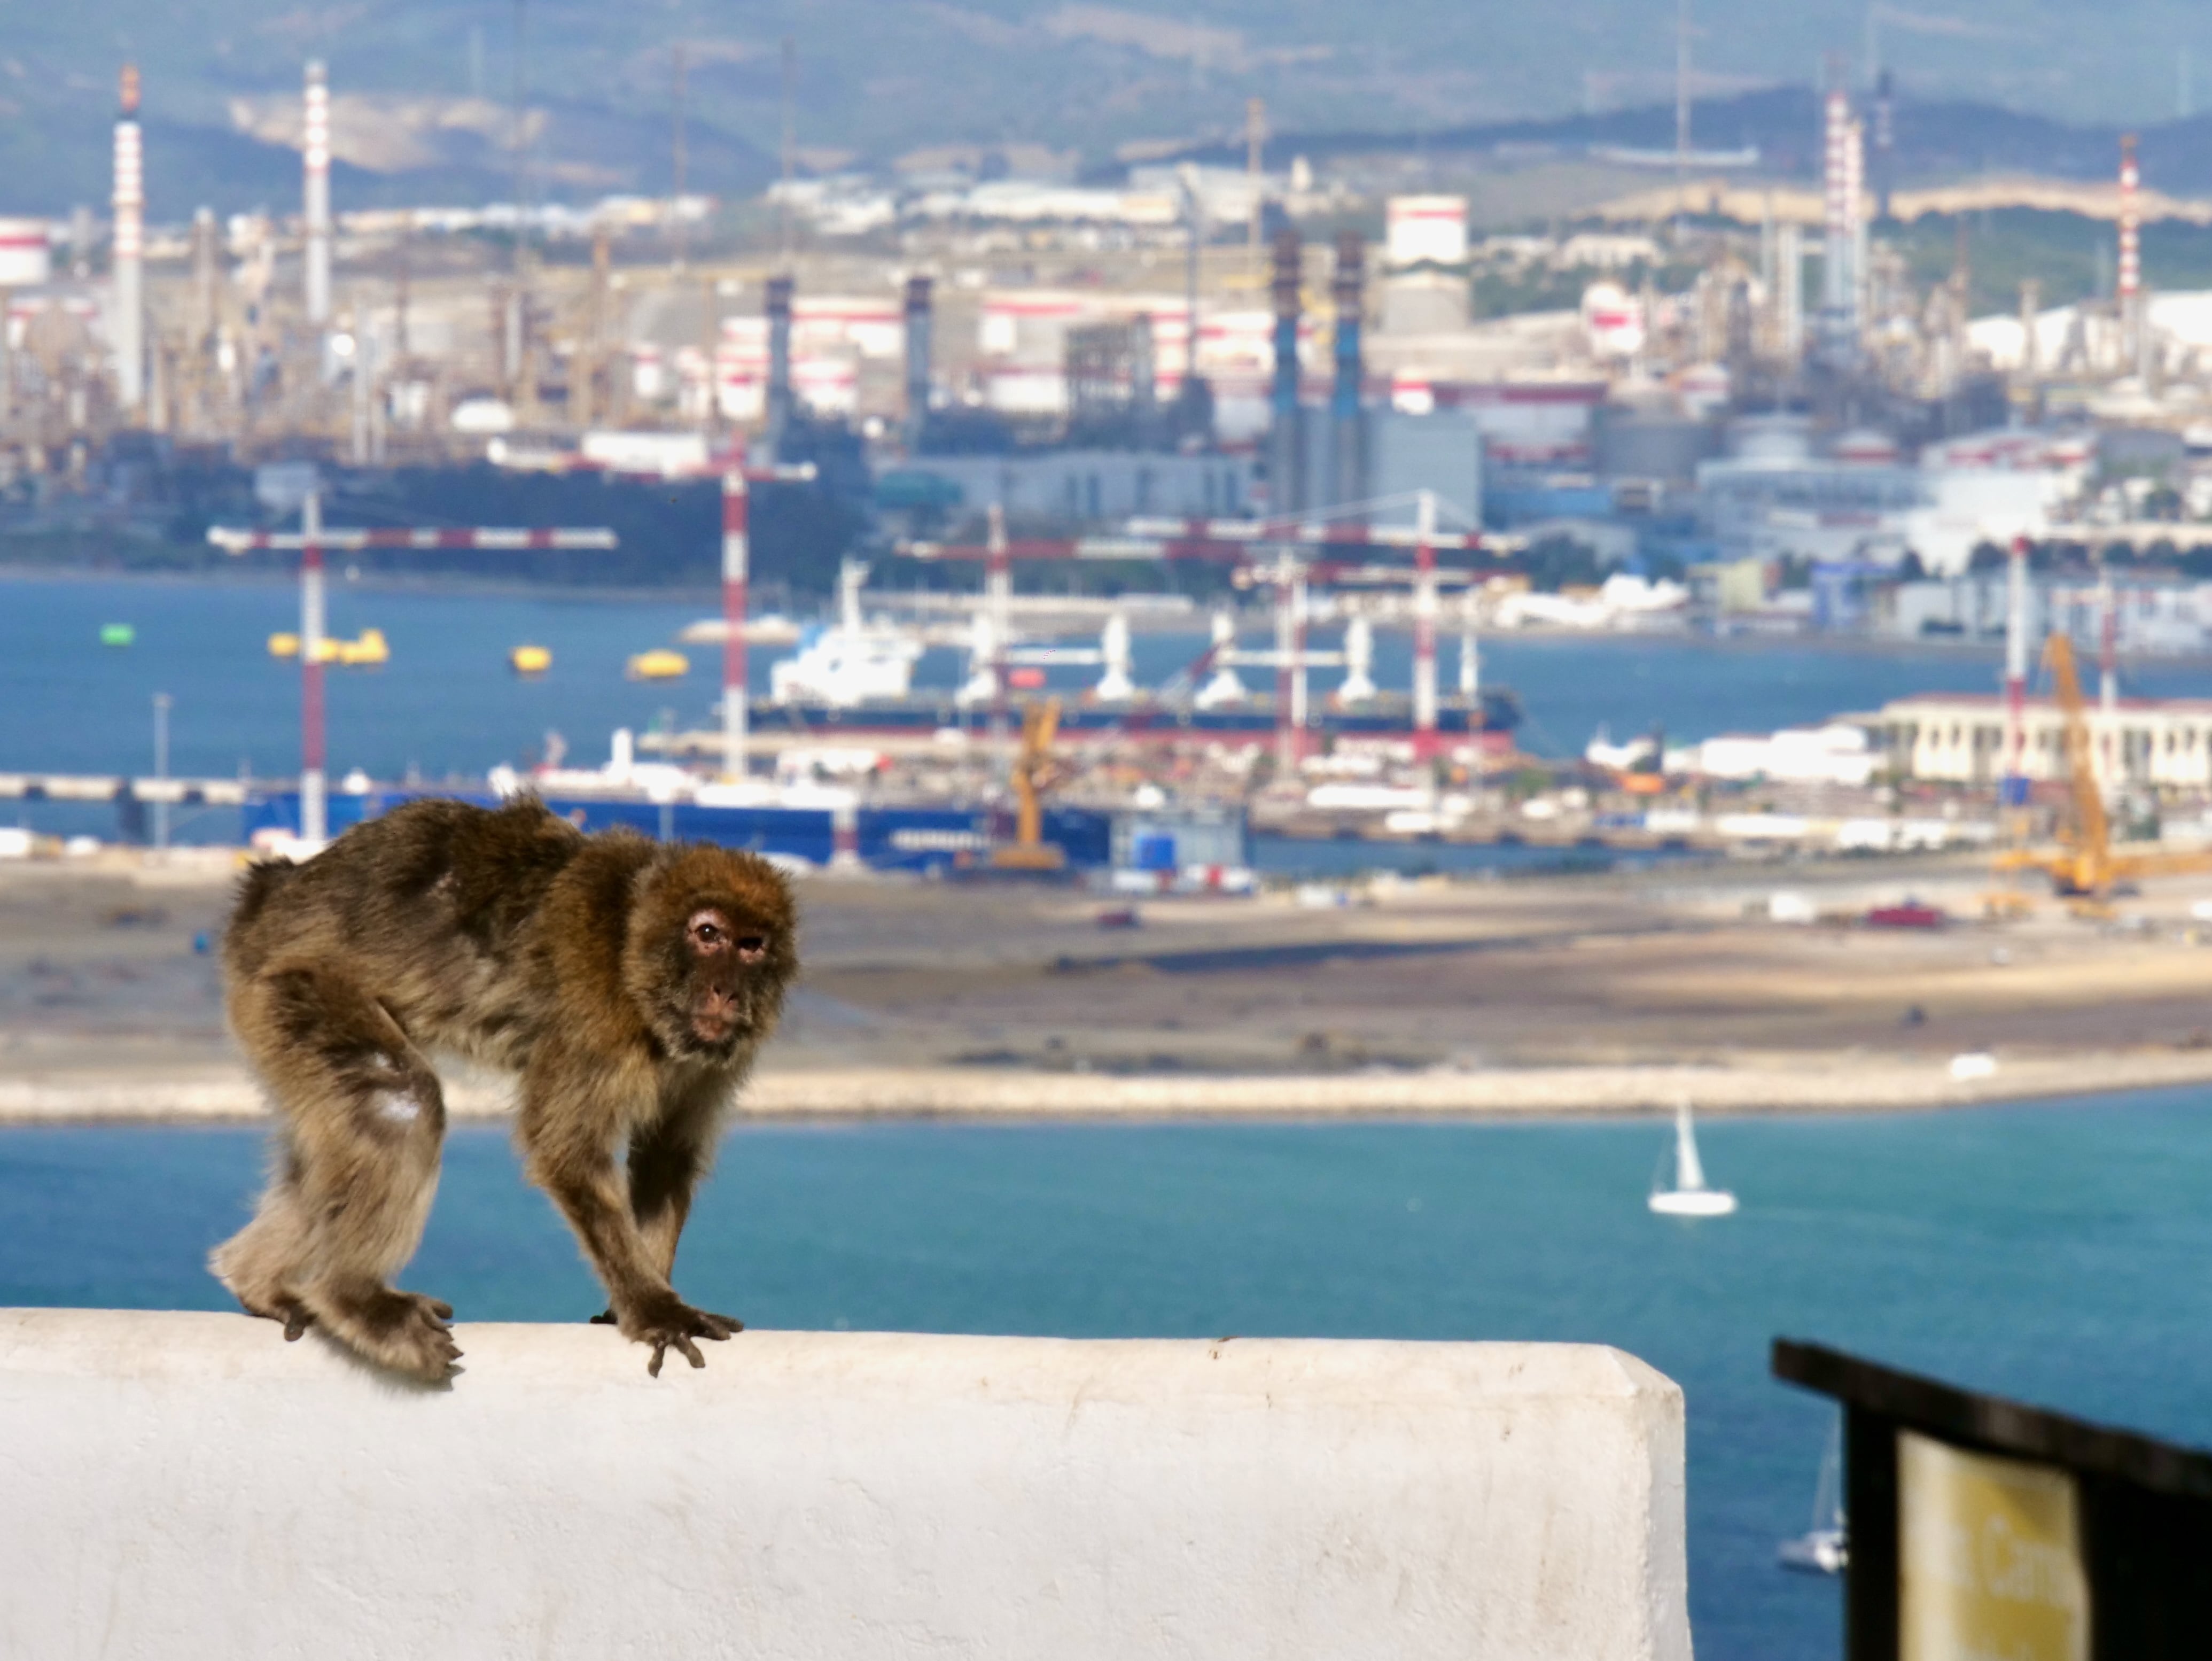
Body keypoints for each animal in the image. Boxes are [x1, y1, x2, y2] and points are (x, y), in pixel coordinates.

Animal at [208, 795, 798, 1383]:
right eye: (708, 935)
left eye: (752, 947)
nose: (726, 991)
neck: (632, 949)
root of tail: (271, 892)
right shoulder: (594, 1014)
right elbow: (567, 1152)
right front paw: (655, 1309)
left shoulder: (713, 1061)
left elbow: (665, 1154)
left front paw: (630, 1306)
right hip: (289, 984)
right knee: (396, 1099)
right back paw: (352, 1299)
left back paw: (260, 1283)